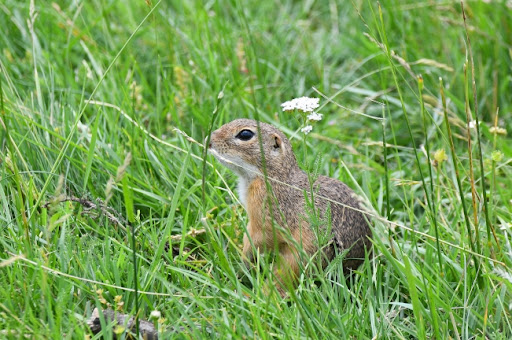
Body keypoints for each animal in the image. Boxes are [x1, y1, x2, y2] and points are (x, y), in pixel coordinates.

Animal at [208, 119, 372, 292]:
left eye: (245, 134)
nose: (209, 140)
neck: (273, 175)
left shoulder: (266, 216)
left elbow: (259, 239)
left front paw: (244, 261)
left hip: (295, 261)